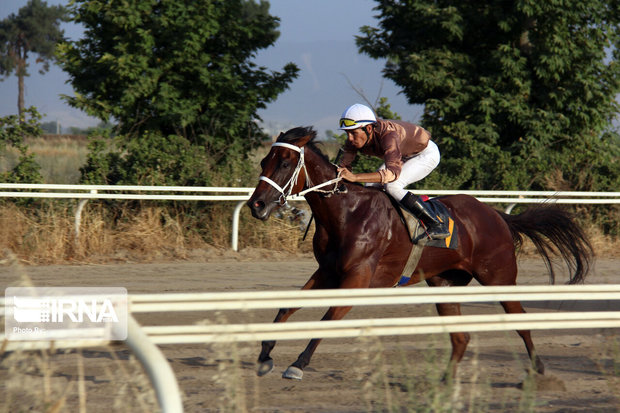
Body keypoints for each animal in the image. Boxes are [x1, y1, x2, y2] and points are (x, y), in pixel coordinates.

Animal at [245, 124, 592, 380]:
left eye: (285, 163)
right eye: (263, 162)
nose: (255, 205)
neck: (346, 212)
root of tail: (497, 216)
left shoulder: (358, 278)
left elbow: (328, 320)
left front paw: (297, 365)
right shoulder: (328, 271)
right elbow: (287, 308)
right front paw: (265, 355)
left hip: (499, 276)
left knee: (520, 322)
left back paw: (539, 369)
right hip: (444, 284)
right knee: (461, 337)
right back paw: (445, 381)